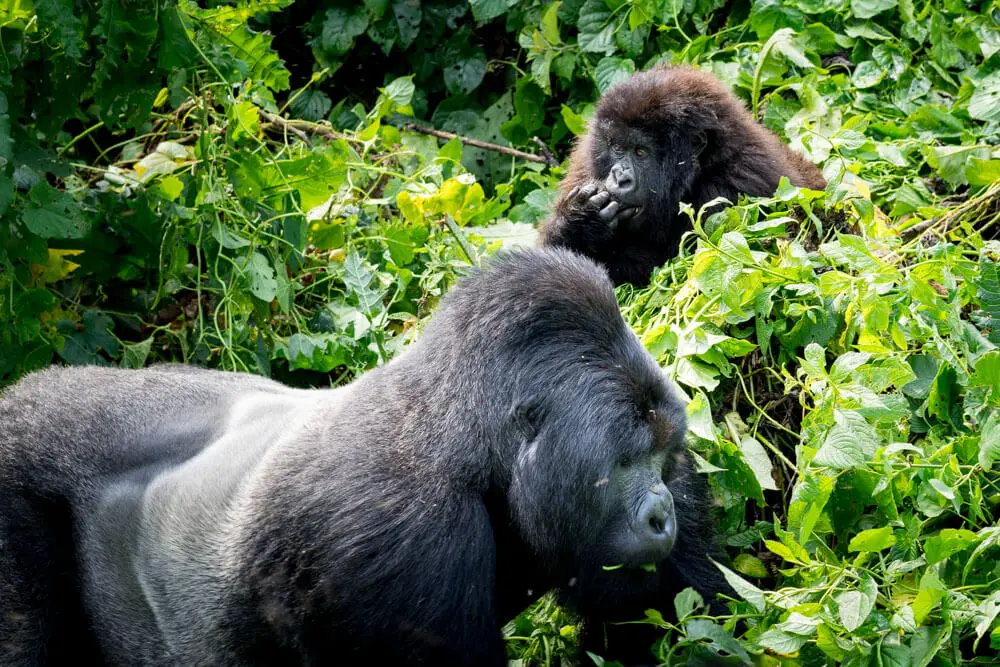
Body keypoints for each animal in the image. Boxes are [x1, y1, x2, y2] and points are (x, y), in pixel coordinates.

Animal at [540, 66, 828, 288]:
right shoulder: (585, 164)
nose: (620, 177)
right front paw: (579, 222)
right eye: (617, 147)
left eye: (641, 152)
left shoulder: (734, 188)